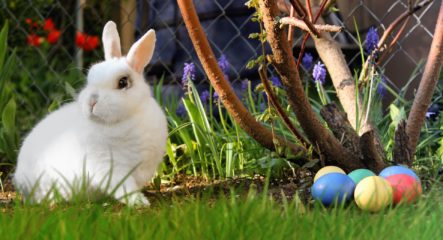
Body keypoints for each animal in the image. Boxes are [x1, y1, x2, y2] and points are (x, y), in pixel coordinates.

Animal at [13, 21, 168, 206]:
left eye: (123, 82)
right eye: (90, 78)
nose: (91, 102)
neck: (125, 120)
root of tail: (19, 180)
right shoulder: (109, 167)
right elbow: (124, 187)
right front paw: (139, 202)